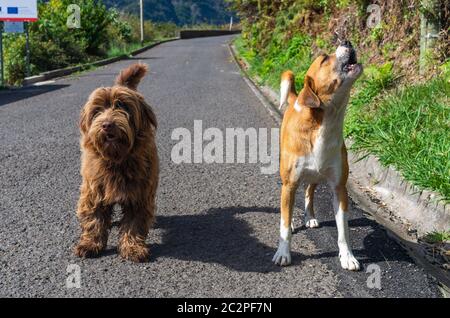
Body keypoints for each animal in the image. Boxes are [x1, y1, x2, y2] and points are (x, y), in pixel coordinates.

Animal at [74, 63, 158, 262]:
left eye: (123, 107)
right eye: (97, 111)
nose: (107, 125)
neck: (117, 159)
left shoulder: (139, 193)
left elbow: (134, 222)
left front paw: (133, 247)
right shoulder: (93, 189)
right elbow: (94, 217)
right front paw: (90, 244)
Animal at [272, 40, 364, 270]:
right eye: (324, 59)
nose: (347, 41)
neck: (325, 123)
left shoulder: (339, 188)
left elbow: (343, 231)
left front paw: (347, 256)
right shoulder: (289, 183)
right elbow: (284, 223)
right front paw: (283, 252)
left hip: (316, 174)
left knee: (309, 191)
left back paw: (310, 217)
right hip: (289, 181)